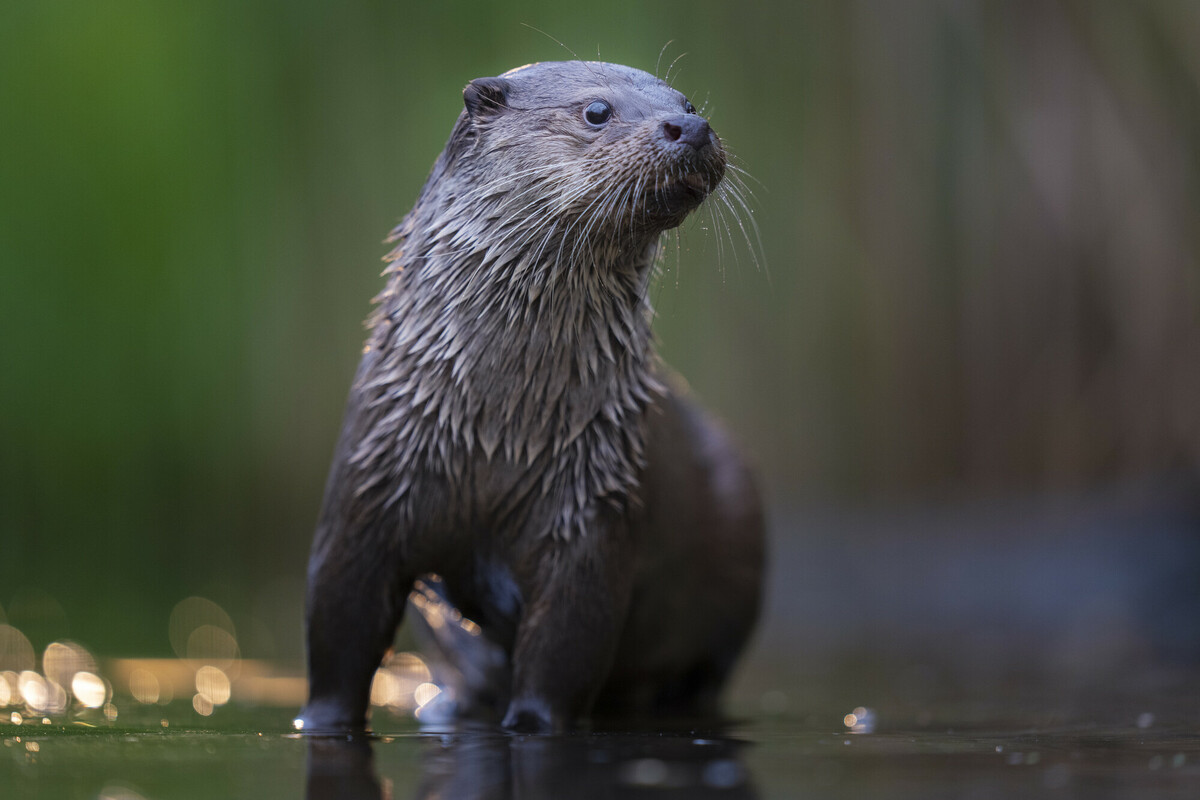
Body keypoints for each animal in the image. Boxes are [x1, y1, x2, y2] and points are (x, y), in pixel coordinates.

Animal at [298, 61, 764, 734]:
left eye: (689, 103)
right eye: (596, 111)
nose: (693, 127)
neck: (497, 433)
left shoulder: (591, 508)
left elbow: (565, 651)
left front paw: (532, 722)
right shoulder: (370, 479)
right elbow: (337, 631)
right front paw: (322, 720)